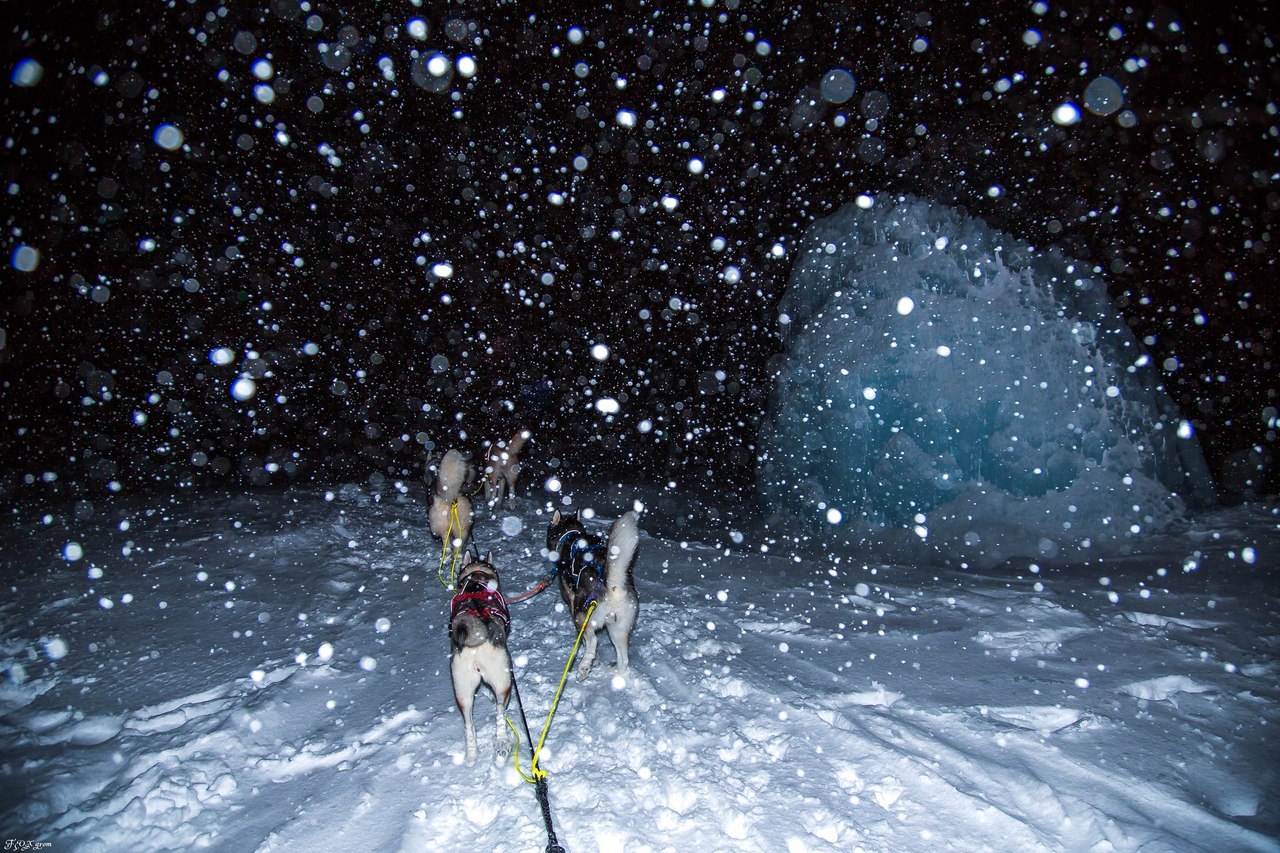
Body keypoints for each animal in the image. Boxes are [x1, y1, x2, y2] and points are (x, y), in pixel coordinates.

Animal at [448, 550, 512, 763]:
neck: (475, 576)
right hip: (503, 680)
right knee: (500, 709)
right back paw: (502, 742)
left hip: (462, 689)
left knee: (468, 722)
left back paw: (471, 754)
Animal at [542, 504, 637, 676]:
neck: (570, 534)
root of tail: (613, 585)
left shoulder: (572, 602)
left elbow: (587, 641)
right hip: (617, 629)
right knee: (624, 659)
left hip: (582, 617)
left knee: (593, 640)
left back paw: (584, 666)